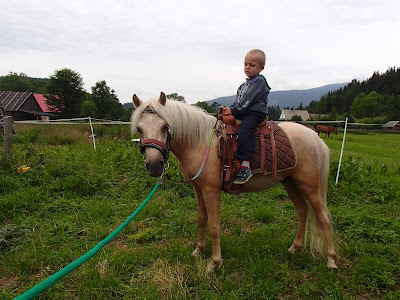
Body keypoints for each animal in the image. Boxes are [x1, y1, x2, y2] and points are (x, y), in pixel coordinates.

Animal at [131, 93, 338, 272]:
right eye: (139, 129)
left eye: (165, 126)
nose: (154, 165)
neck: (200, 142)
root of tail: (316, 140)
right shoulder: (199, 190)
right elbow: (201, 219)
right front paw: (199, 250)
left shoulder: (211, 191)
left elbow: (214, 226)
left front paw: (215, 263)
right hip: (291, 183)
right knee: (302, 211)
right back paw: (295, 248)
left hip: (310, 187)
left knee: (324, 217)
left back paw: (331, 261)